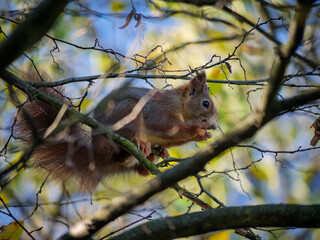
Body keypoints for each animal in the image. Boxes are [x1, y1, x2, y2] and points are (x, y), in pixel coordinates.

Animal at [16, 71, 219, 191]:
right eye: (205, 103)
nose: (215, 125)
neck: (180, 103)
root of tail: (96, 151)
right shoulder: (161, 109)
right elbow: (165, 127)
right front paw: (198, 131)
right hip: (127, 113)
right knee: (123, 149)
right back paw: (139, 145)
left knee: (141, 171)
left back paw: (152, 155)